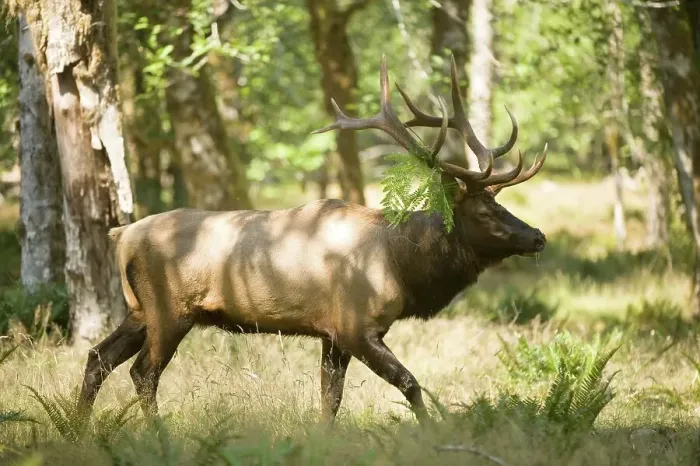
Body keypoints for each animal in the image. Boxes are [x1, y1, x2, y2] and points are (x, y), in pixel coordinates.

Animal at [78, 56, 547, 424]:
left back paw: (77, 429)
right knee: (143, 373)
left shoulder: (331, 333)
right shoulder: (357, 327)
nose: (538, 236)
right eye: (485, 212)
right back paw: (155, 434)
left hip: (138, 310)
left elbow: (330, 399)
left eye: (501, 203)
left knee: (97, 358)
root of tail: (122, 234)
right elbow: (410, 384)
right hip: (169, 310)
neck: (401, 263)